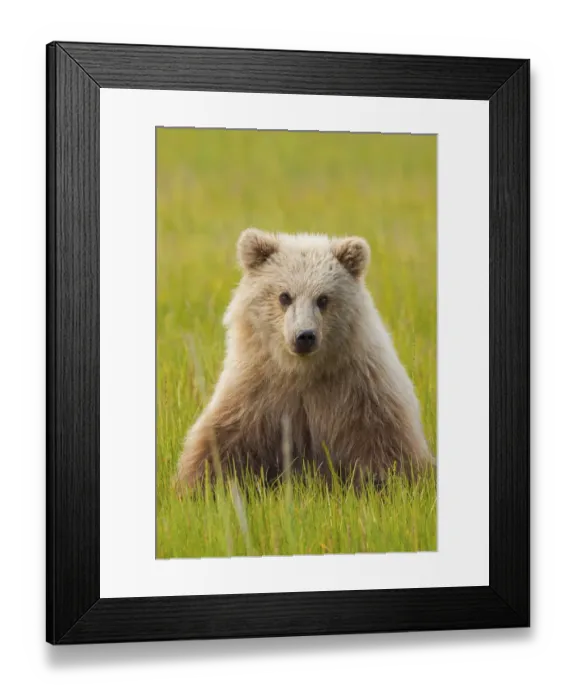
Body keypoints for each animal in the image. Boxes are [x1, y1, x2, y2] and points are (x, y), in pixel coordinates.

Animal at [175, 228, 433, 490]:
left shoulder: (362, 392)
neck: (301, 370)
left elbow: (386, 448)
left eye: (323, 299)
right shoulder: (255, 392)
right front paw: (198, 485)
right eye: (284, 296)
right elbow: (222, 442)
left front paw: (388, 484)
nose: (304, 336)